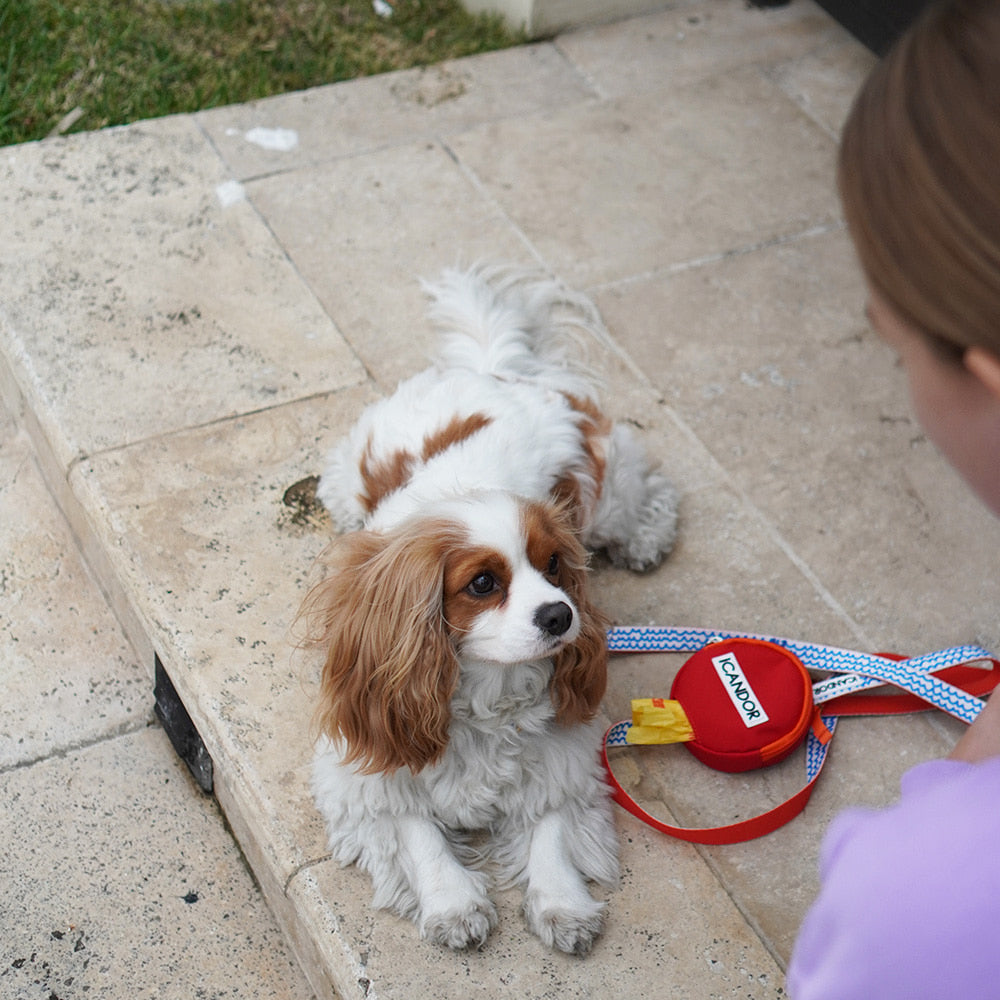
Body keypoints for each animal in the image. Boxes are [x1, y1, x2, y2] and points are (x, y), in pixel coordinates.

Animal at [302, 266, 680, 952]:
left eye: (554, 566)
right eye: (482, 583)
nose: (561, 616)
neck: (482, 686)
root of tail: (495, 371)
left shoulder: (563, 751)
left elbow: (551, 826)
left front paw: (561, 904)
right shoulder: (362, 765)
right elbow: (414, 829)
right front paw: (453, 903)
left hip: (605, 494)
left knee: (649, 490)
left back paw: (646, 539)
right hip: (353, 472)